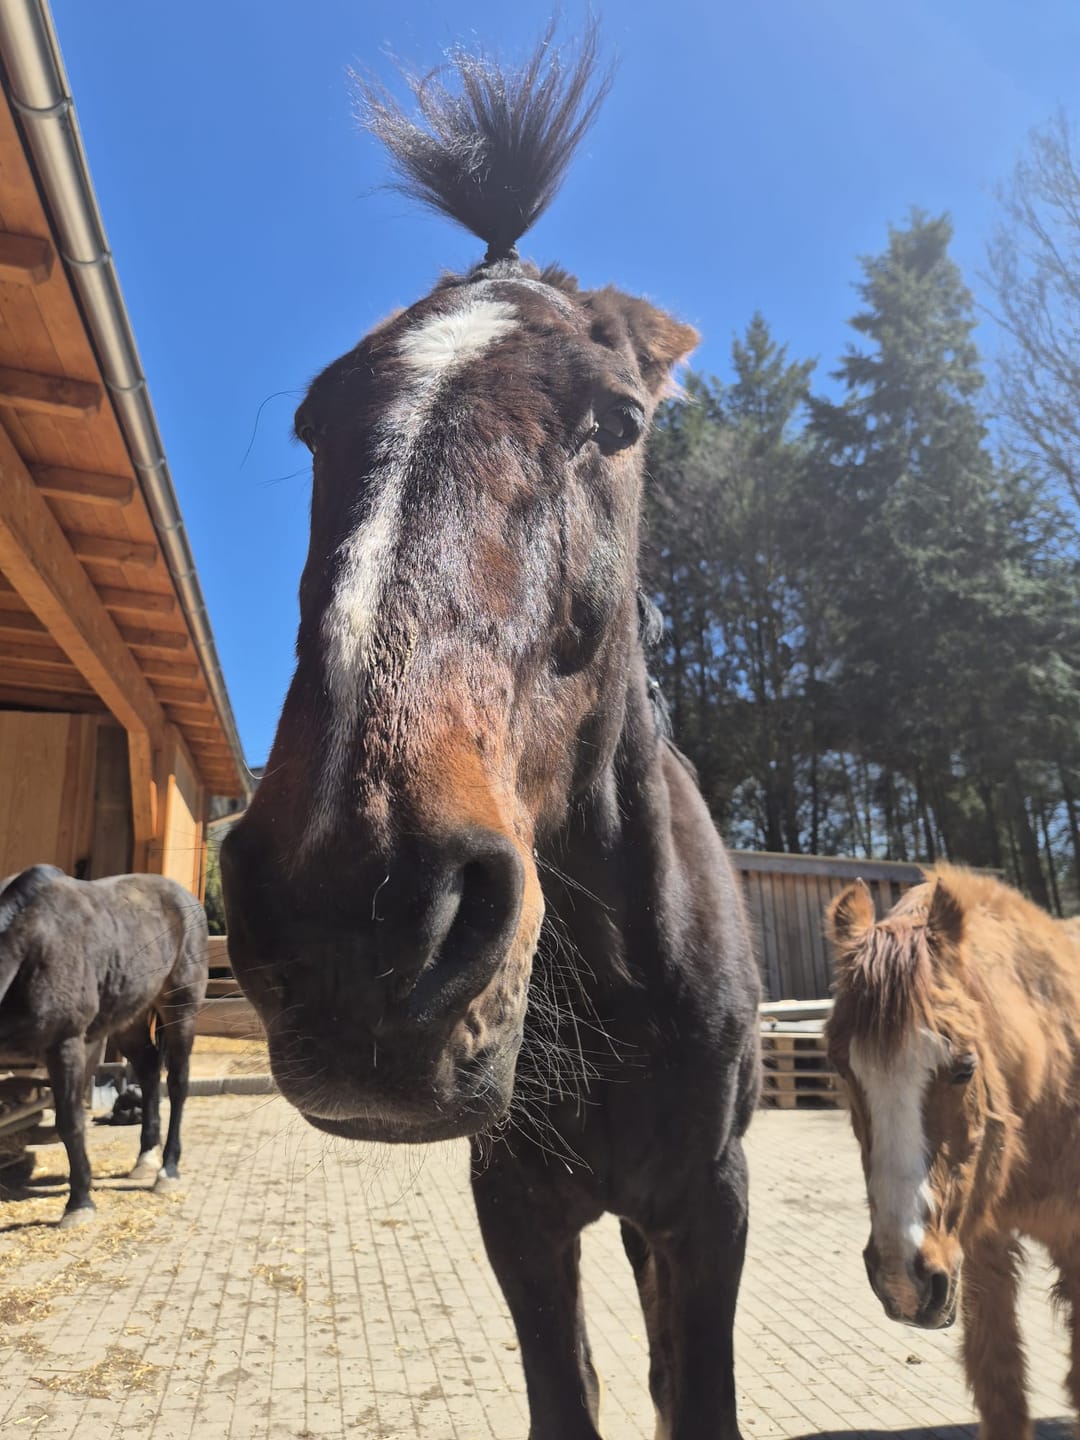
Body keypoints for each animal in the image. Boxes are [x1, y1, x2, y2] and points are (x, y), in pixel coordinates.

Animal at [0, 864, 208, 1227]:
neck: (26, 945)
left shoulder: (66, 1045)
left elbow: (70, 1123)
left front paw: (79, 1203)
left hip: (180, 1008)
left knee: (178, 1084)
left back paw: (167, 1171)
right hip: (130, 1020)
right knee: (150, 1073)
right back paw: (145, 1160)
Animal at [222, 28, 760, 1440]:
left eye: (618, 420)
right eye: (315, 421)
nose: (357, 911)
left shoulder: (710, 1201)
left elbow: (694, 1393)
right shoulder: (515, 1206)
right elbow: (567, 1391)